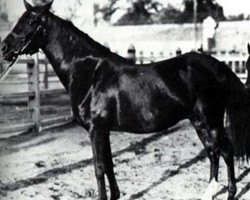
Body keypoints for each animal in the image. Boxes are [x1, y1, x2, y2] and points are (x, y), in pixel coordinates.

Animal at [0, 0, 250, 199]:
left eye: (31, 22)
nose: (4, 48)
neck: (91, 73)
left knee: (226, 151)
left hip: (211, 121)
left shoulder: (96, 129)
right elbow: (110, 165)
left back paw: (230, 193)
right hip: (198, 121)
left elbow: (99, 167)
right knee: (212, 152)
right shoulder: (104, 130)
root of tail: (218, 66)